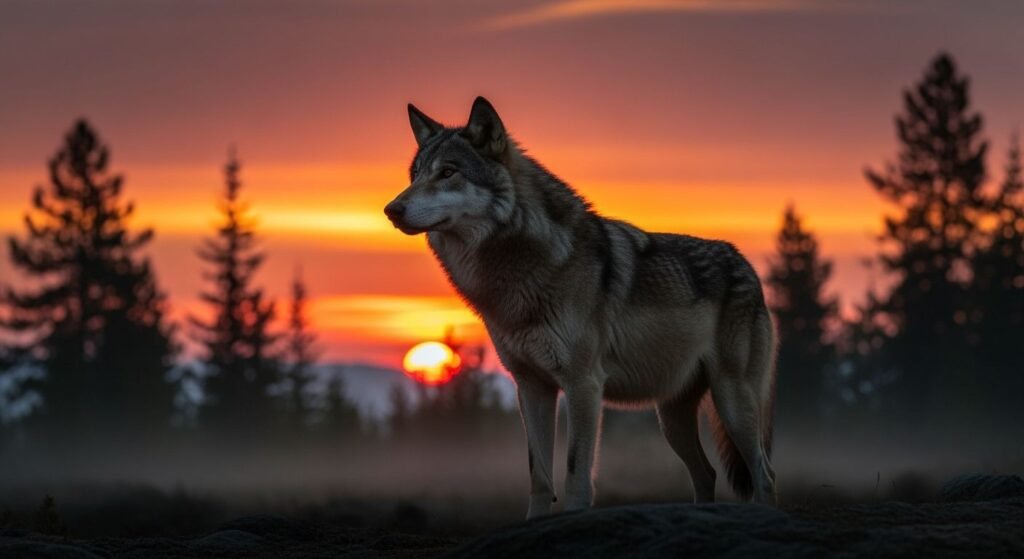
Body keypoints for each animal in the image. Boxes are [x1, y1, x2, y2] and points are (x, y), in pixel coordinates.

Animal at [385, 97, 778, 518]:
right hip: (671, 417)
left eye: (448, 172)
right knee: (707, 473)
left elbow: (575, 470)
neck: (520, 270)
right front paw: (535, 522)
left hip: (731, 400)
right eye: (415, 175)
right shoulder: (532, 387)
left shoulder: (582, 384)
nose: (391, 209)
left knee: (764, 474)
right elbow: (539, 474)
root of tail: (746, 265)